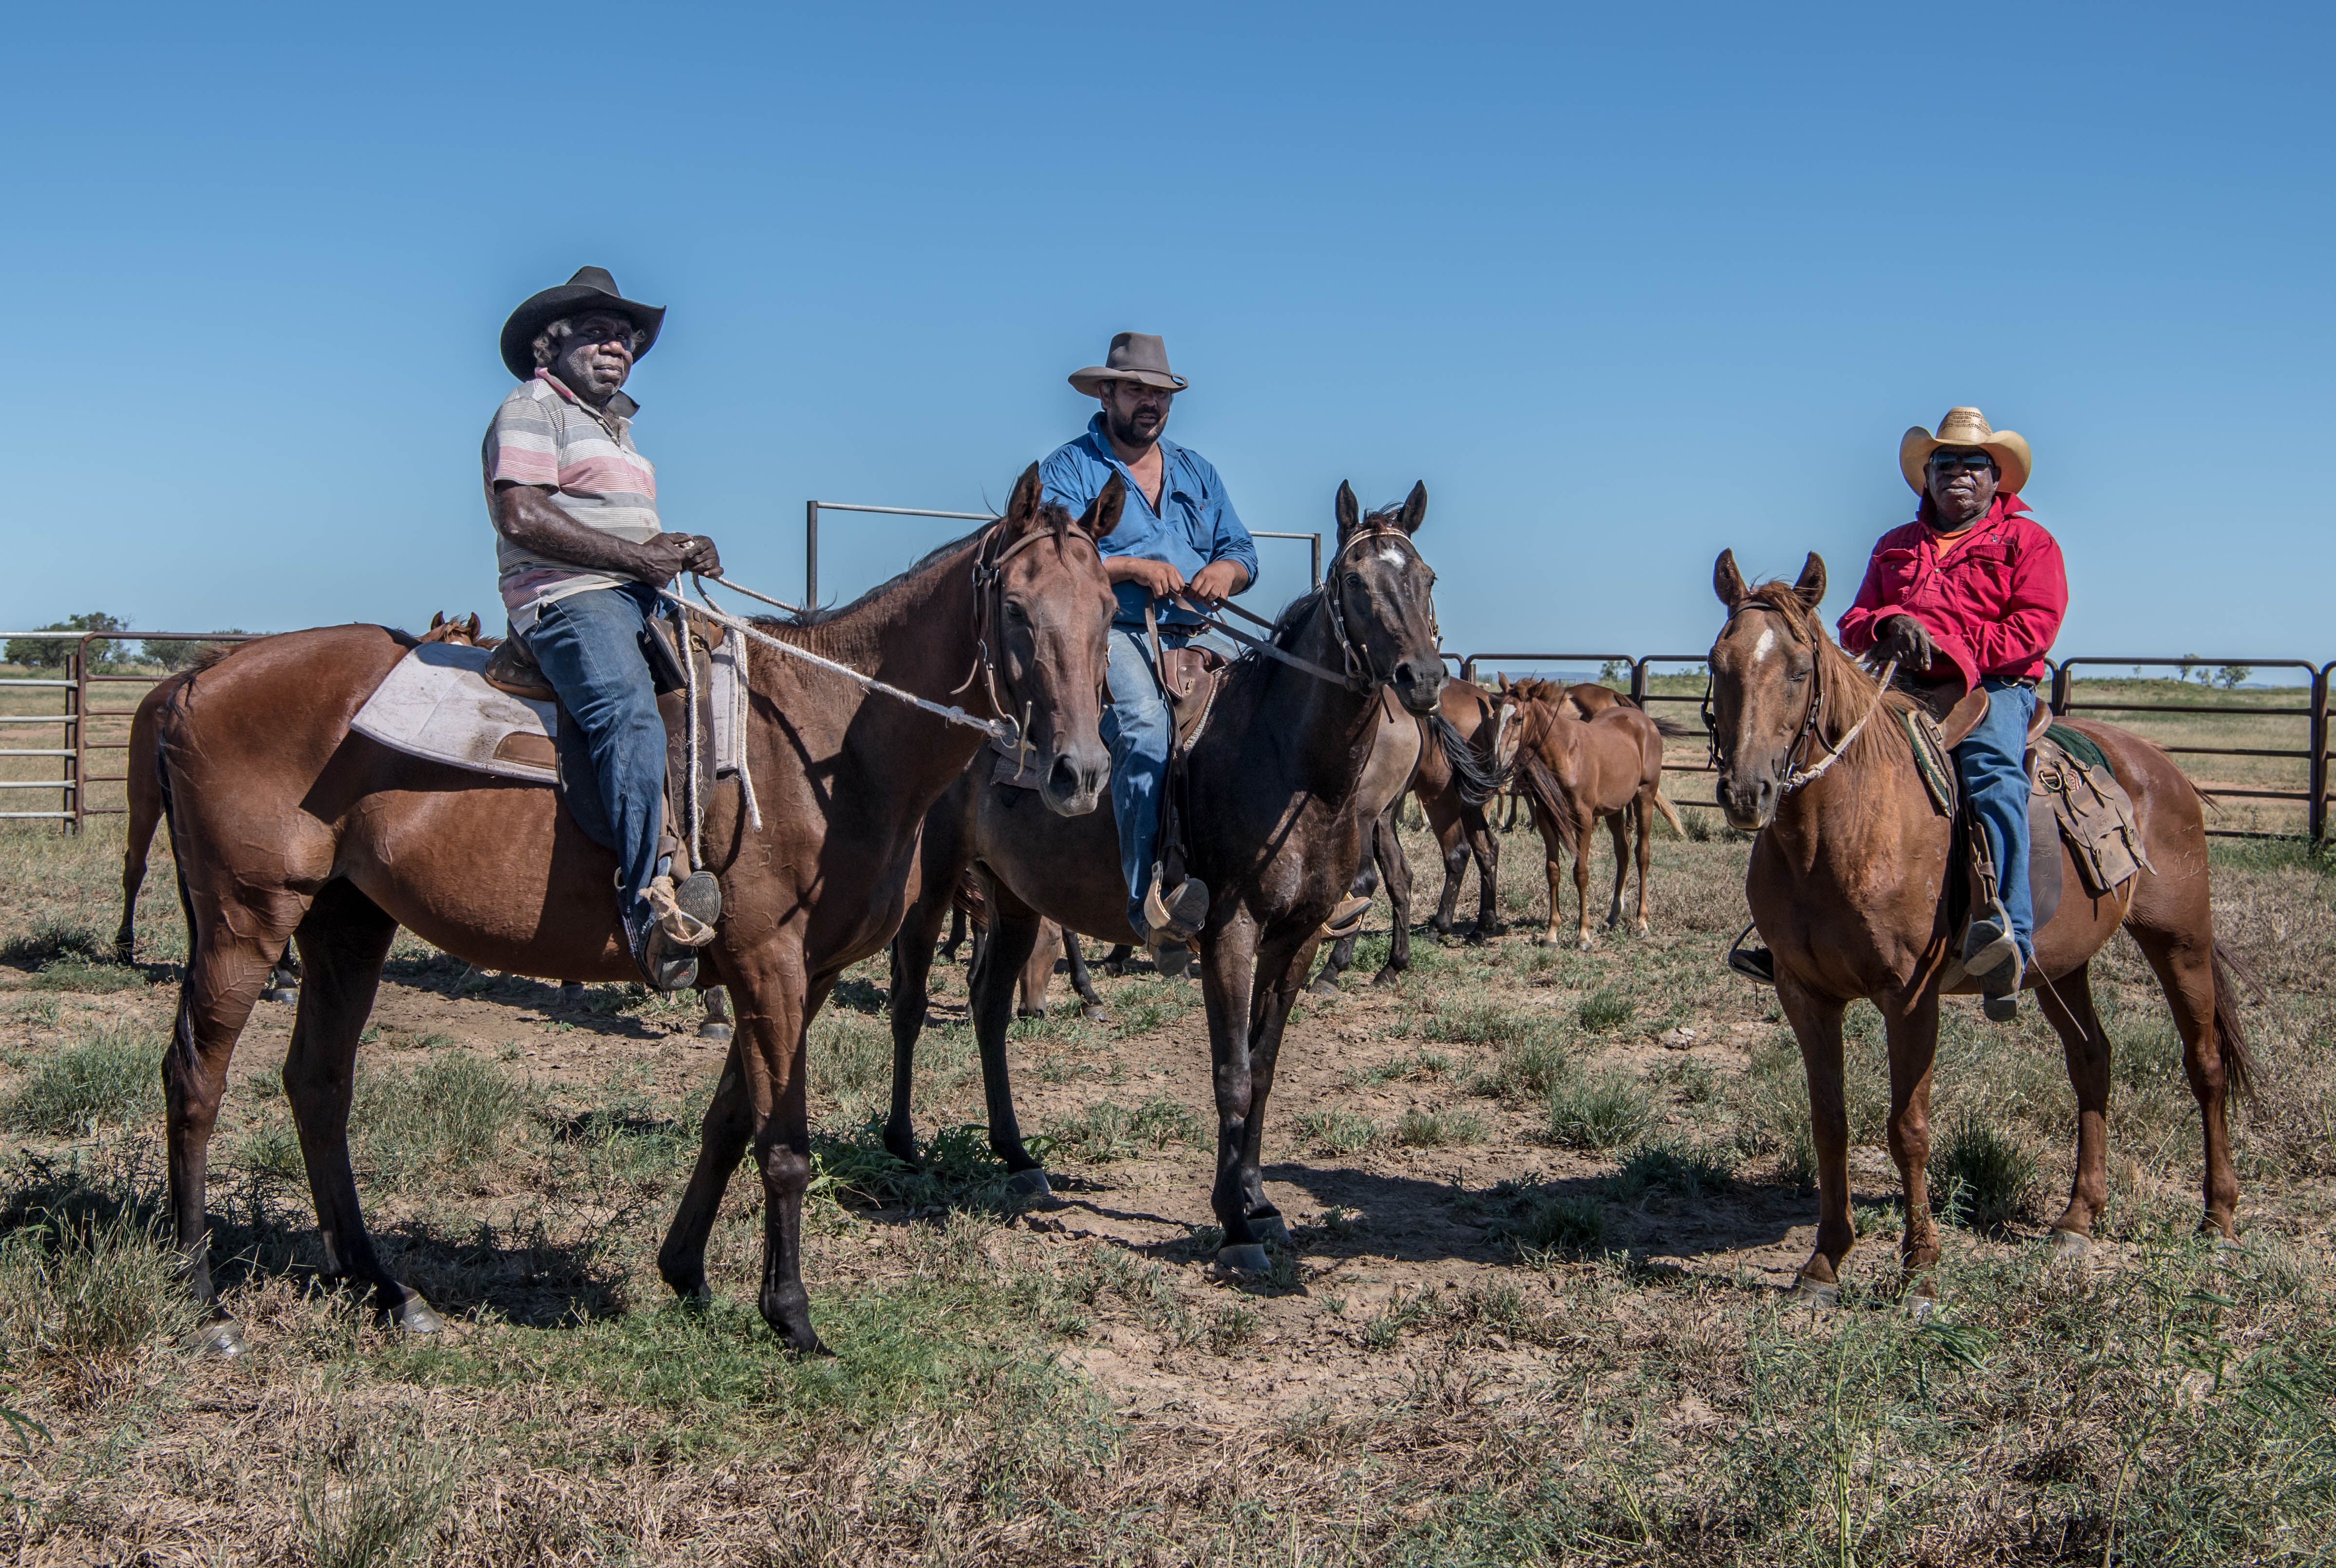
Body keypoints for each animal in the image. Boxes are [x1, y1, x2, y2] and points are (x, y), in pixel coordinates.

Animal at [155, 472, 1121, 1355]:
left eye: (1110, 609)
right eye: (1018, 611)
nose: (1078, 773)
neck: (829, 739)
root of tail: (200, 678)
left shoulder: (801, 977)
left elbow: (731, 1124)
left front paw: (686, 1271)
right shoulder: (768, 963)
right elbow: (784, 1146)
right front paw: (792, 1316)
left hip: (347, 922)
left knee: (319, 1085)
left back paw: (383, 1290)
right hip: (246, 921)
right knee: (196, 1082)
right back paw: (202, 1302)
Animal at [883, 484, 1448, 1271]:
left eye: (1426, 578)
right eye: (1358, 584)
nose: (1421, 679)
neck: (1289, 764)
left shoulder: (1299, 936)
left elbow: (1262, 1069)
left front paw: (1258, 1203)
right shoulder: (1230, 931)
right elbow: (1231, 1075)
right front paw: (1236, 1228)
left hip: (1016, 895)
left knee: (989, 1008)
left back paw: (1018, 1159)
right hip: (933, 878)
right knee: (909, 1000)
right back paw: (901, 1148)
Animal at [1504, 673, 1691, 944]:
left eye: (1519, 719)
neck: (1567, 752)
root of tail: (1642, 719)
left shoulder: (1584, 818)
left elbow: (1581, 872)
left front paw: (1583, 935)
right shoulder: (1546, 817)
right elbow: (1553, 870)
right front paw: (1552, 932)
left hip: (1644, 797)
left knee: (1642, 854)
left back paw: (1642, 922)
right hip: (1614, 809)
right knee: (1623, 852)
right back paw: (1613, 915)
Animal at [1710, 546, 2252, 1308]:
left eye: (1797, 668)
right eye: (1718, 662)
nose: (1746, 792)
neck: (1841, 826)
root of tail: (2157, 765)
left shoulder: (1909, 998)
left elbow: (1906, 1127)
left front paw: (1920, 1271)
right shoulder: (1803, 993)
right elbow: (1829, 1122)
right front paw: (1823, 1264)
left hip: (2181, 941)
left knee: (2204, 1065)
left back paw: (2218, 1220)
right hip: (2060, 965)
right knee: (2092, 1060)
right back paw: (2077, 1220)